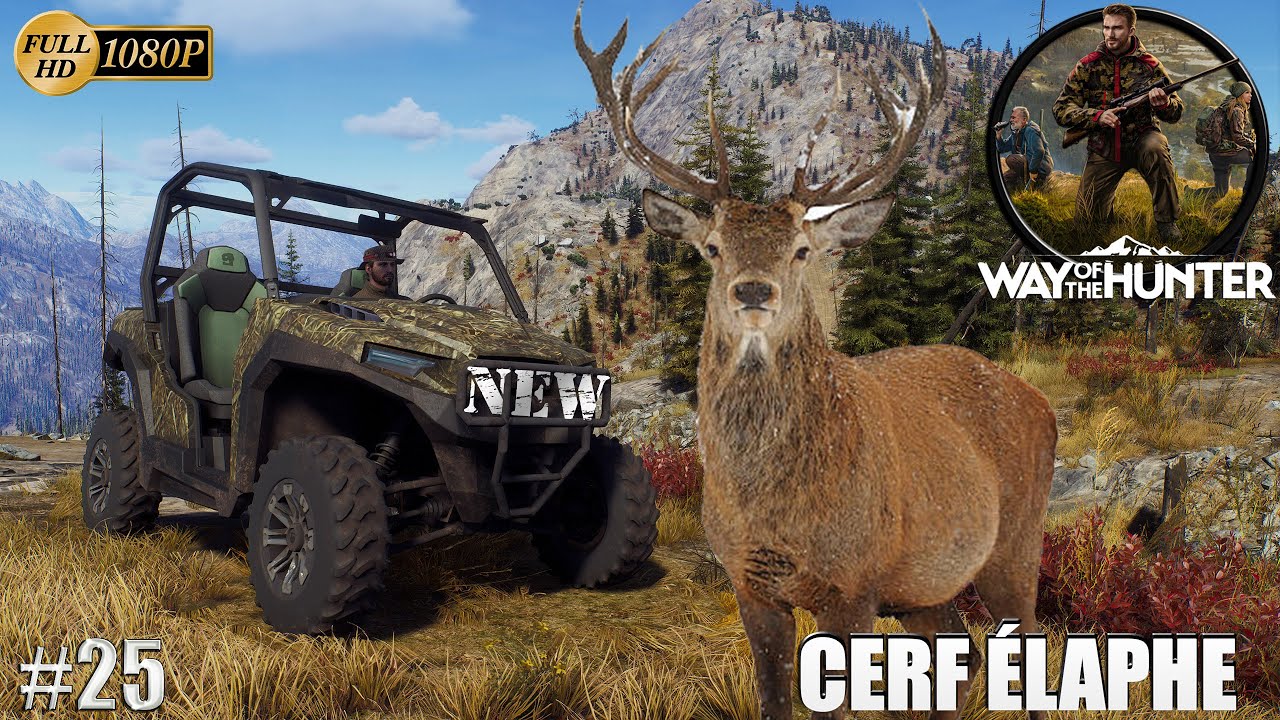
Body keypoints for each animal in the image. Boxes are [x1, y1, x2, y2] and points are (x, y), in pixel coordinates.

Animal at [576, 7, 1057, 720]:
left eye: (802, 249)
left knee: (1028, 652)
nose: (753, 291)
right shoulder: (749, 583)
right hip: (927, 585)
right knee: (962, 655)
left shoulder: (853, 583)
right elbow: (774, 698)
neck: (777, 510)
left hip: (1017, 543)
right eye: (712, 246)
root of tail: (1040, 402)